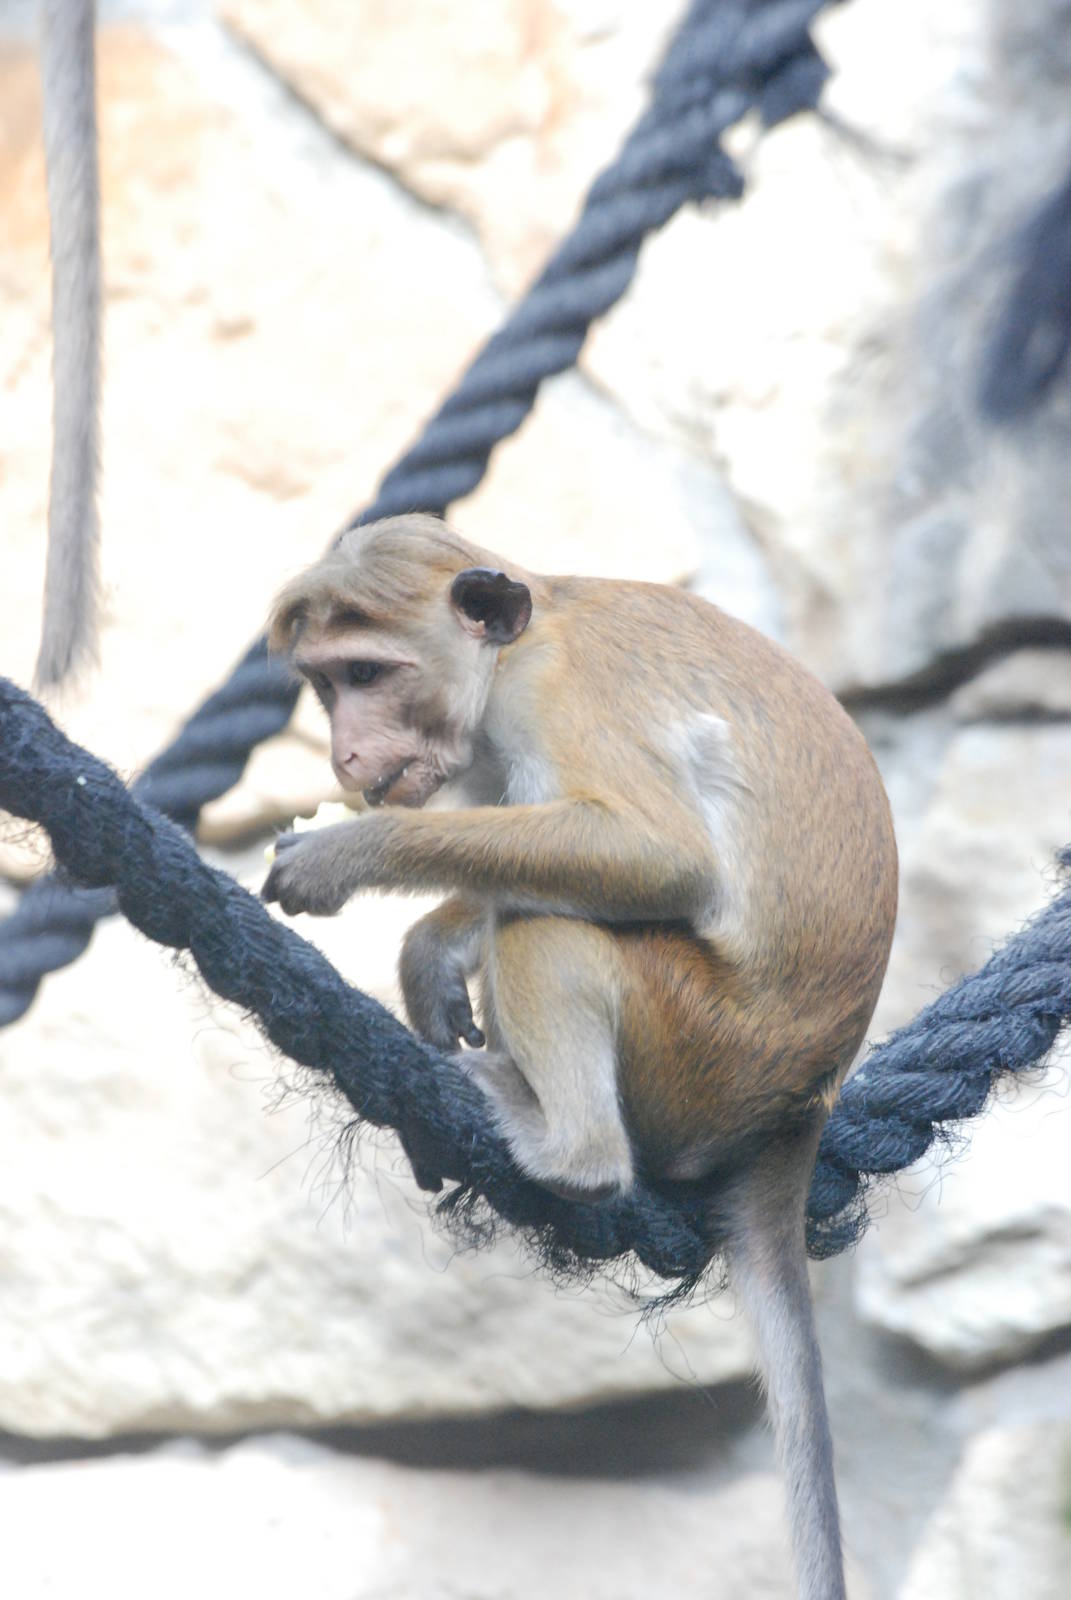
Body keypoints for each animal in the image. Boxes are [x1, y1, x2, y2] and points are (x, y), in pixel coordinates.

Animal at [261, 512, 898, 1600]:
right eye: (324, 683)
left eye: (367, 672)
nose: (345, 752)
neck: (523, 637)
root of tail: (801, 1107)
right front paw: (432, 946)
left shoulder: (555, 694)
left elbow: (653, 856)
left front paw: (352, 853)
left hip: (699, 1046)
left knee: (550, 923)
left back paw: (566, 1148)